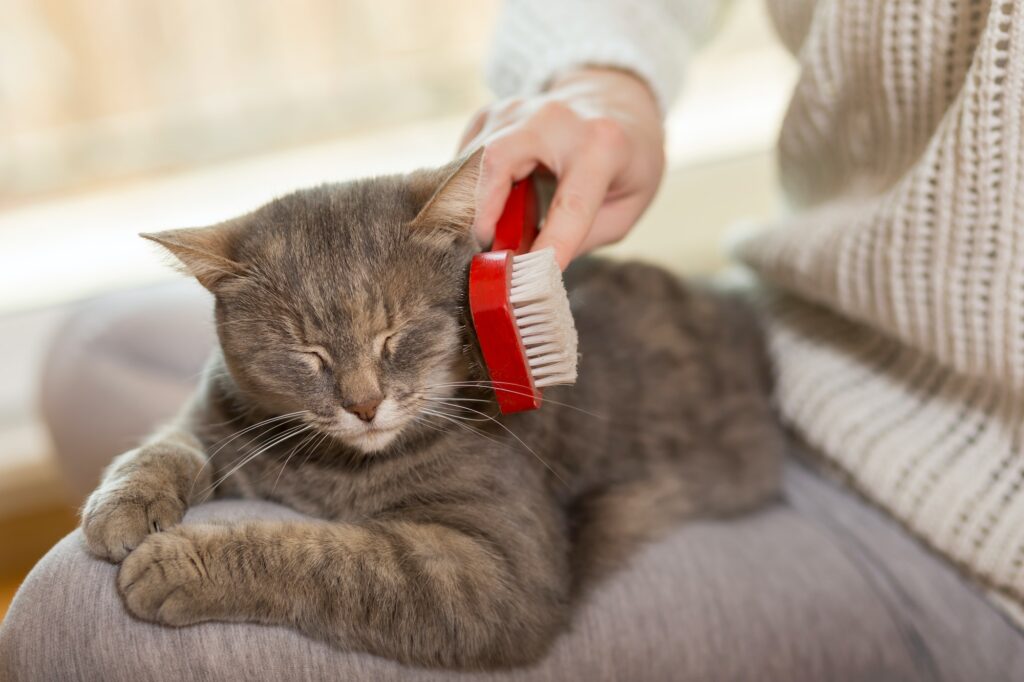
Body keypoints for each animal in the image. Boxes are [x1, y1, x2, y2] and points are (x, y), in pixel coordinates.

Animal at [81, 150, 782, 667]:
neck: (338, 470)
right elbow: (159, 447)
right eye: (308, 353)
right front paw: (120, 508)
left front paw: (177, 562)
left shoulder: (491, 572)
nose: (363, 404)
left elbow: (330, 555)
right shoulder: (216, 421)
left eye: (395, 335)